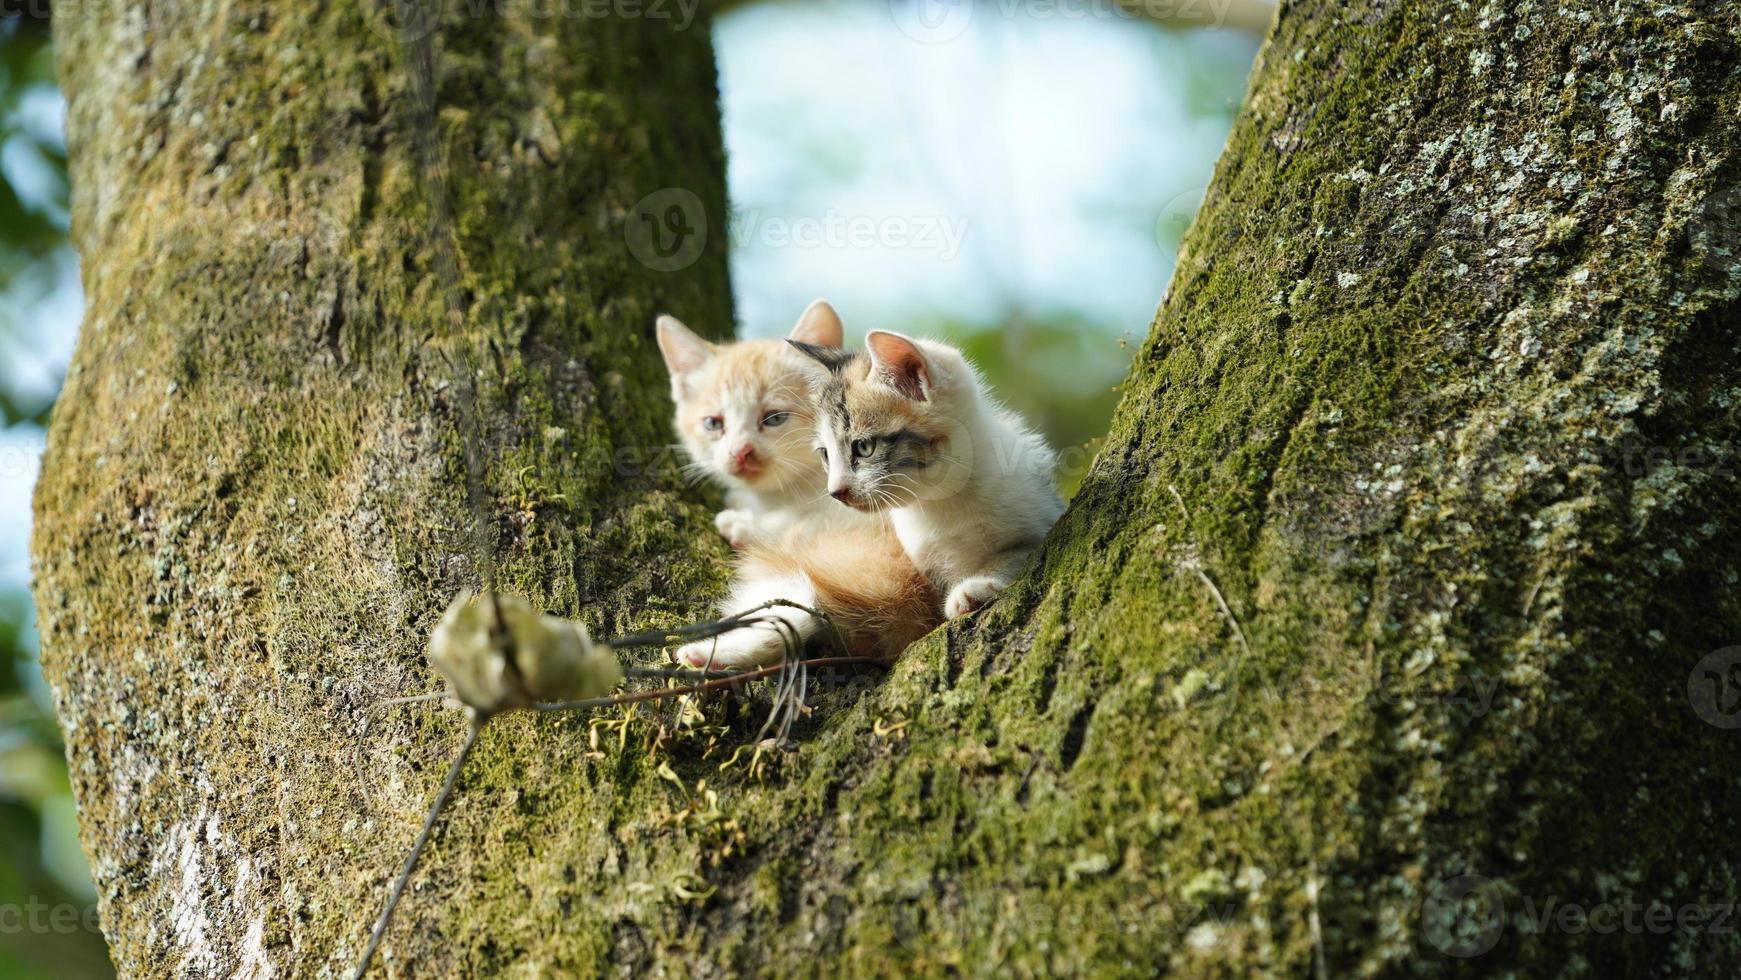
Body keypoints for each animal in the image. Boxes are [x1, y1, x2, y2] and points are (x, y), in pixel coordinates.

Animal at [793, 328, 1058, 619]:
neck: (944, 500)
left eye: (864, 447)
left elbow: (1022, 553)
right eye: (825, 454)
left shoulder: (1043, 514)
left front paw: (976, 586)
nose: (836, 491)